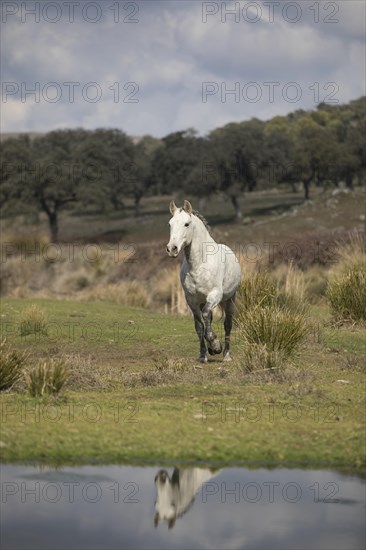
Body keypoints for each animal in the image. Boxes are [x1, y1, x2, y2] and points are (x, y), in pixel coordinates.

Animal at [167, 201, 242, 364]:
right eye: (170, 224)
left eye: (186, 224)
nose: (172, 249)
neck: (199, 265)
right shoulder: (192, 301)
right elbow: (199, 326)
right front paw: (203, 354)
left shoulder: (215, 295)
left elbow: (207, 315)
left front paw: (215, 345)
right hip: (204, 301)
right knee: (209, 320)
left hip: (230, 299)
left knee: (227, 324)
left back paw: (226, 354)